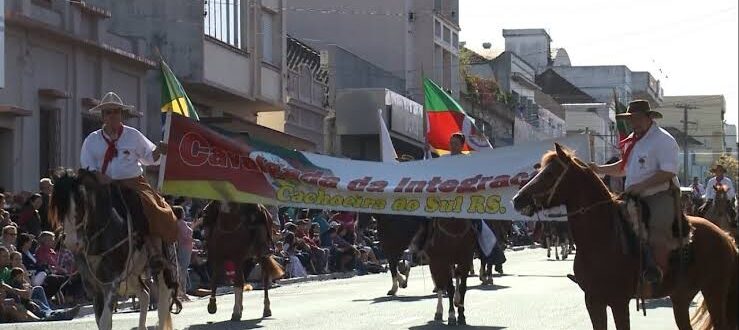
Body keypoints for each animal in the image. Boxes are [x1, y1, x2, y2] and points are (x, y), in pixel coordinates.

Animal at [48, 170, 181, 330]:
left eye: (81, 204)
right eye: (59, 208)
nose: (72, 242)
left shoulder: (112, 281)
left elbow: (105, 321)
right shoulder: (93, 287)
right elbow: (100, 320)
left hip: (162, 271)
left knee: (162, 305)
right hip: (132, 274)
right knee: (144, 295)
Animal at [516, 144, 739, 330]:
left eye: (549, 173)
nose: (517, 199)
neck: (601, 239)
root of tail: (725, 237)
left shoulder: (618, 301)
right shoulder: (593, 301)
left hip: (714, 291)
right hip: (681, 296)